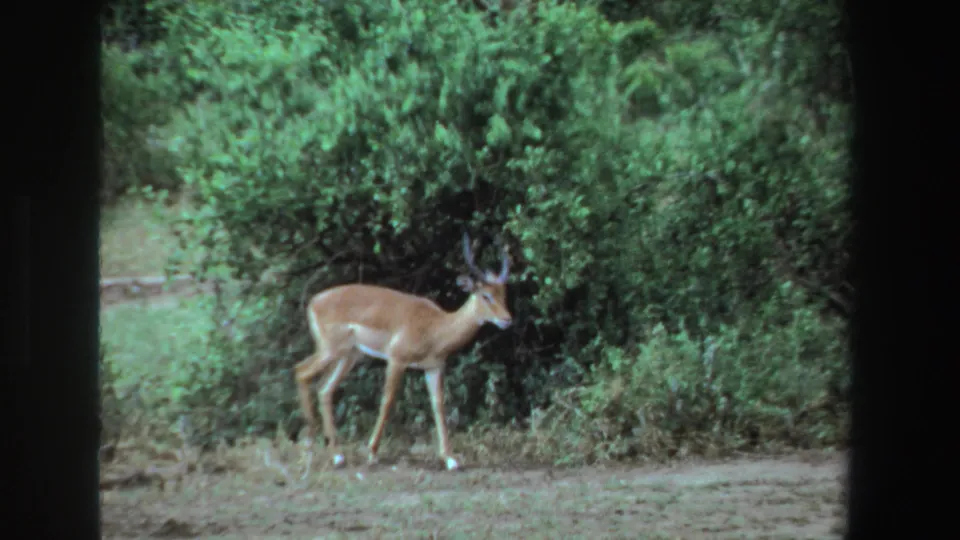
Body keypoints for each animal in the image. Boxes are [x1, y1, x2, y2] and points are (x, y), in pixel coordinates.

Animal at [295, 233, 513, 472]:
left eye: (503, 294)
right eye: (485, 295)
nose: (507, 319)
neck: (436, 327)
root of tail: (313, 301)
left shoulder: (434, 367)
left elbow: (439, 405)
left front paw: (450, 459)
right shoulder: (396, 360)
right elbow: (387, 401)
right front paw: (372, 452)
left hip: (348, 356)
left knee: (324, 389)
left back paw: (337, 456)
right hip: (330, 350)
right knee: (301, 371)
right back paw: (309, 447)